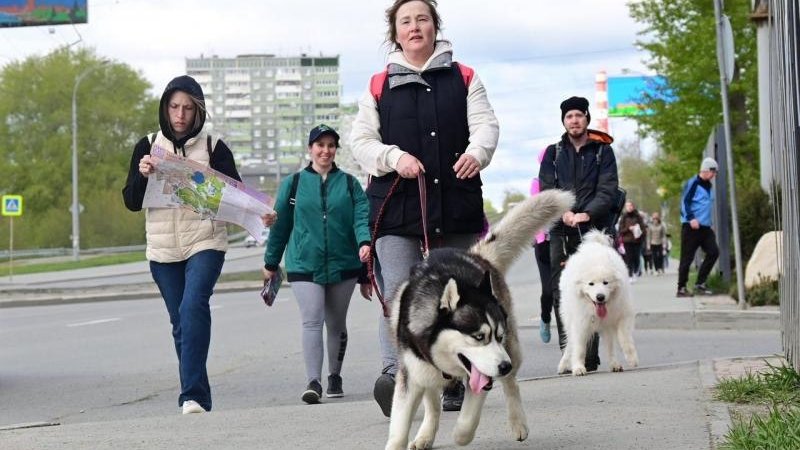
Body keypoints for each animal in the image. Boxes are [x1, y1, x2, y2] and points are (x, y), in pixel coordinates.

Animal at [386, 190, 576, 450]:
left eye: (498, 336)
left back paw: (518, 423)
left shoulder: (483, 374)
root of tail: (476, 255)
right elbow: (400, 428)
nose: (504, 366)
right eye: (478, 337)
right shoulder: (412, 374)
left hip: (512, 350)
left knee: (512, 385)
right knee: (432, 403)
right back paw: (425, 435)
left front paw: (461, 435)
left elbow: (468, 419)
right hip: (427, 372)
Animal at [556, 230, 636, 374]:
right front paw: (578, 368)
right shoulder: (580, 323)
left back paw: (615, 364)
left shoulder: (623, 315)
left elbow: (624, 338)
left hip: (607, 326)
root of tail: (594, 244)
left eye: (606, 282)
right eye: (591, 284)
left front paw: (632, 359)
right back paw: (563, 365)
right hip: (570, 319)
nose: (600, 297)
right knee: (570, 344)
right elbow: (579, 348)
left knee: (610, 346)